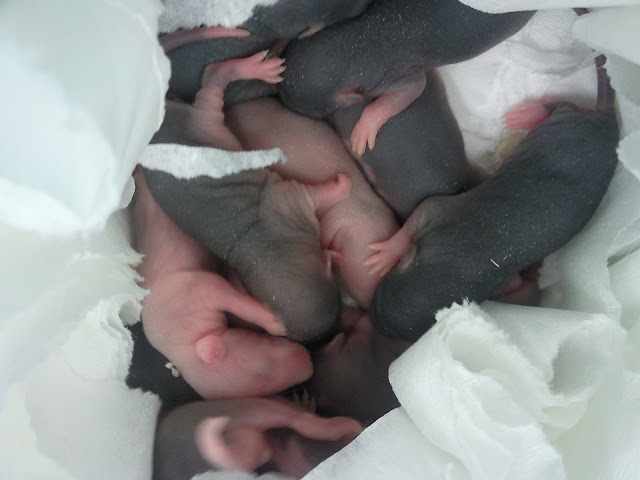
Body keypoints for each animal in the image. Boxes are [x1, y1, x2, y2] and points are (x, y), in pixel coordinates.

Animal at [278, 0, 534, 156]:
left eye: (305, 109)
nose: (278, 96)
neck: (359, 39)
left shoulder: (394, 73)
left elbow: (413, 89)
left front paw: (365, 126)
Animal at [368, 94, 619, 340]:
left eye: (379, 301)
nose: (374, 322)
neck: (464, 263)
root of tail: (606, 127)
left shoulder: (442, 215)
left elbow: (424, 208)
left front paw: (386, 253)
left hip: (565, 124)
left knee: (564, 104)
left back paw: (528, 115)